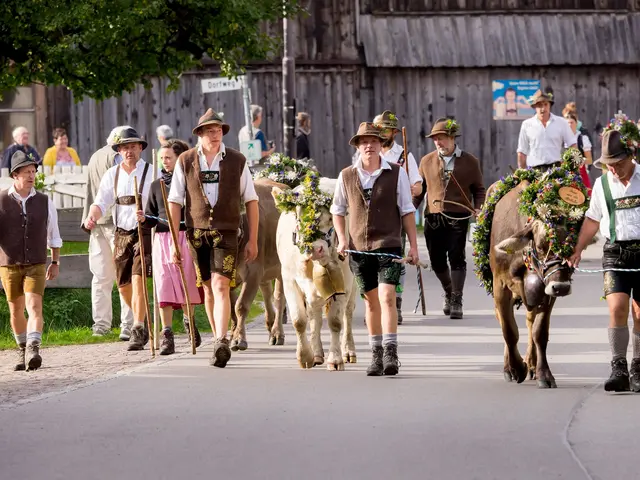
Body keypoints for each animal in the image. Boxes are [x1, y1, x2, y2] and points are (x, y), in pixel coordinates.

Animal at [230, 178, 290, 350]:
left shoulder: (253, 271)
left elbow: (241, 305)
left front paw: (239, 339)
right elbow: (230, 307)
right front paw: (233, 334)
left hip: (281, 269)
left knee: (279, 298)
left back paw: (277, 333)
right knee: (267, 293)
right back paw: (270, 324)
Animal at [272, 178, 358, 370]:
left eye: (331, 218)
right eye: (298, 217)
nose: (315, 248)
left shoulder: (343, 281)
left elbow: (335, 321)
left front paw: (335, 359)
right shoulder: (288, 279)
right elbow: (299, 320)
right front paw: (305, 356)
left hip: (353, 284)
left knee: (348, 314)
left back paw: (348, 351)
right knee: (314, 315)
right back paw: (317, 353)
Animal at [490, 182, 576, 388]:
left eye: (571, 246)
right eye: (540, 246)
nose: (561, 287)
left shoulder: (547, 292)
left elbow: (539, 332)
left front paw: (544, 373)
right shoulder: (499, 286)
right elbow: (509, 331)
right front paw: (515, 368)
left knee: (530, 321)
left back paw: (531, 364)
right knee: (503, 320)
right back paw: (511, 367)